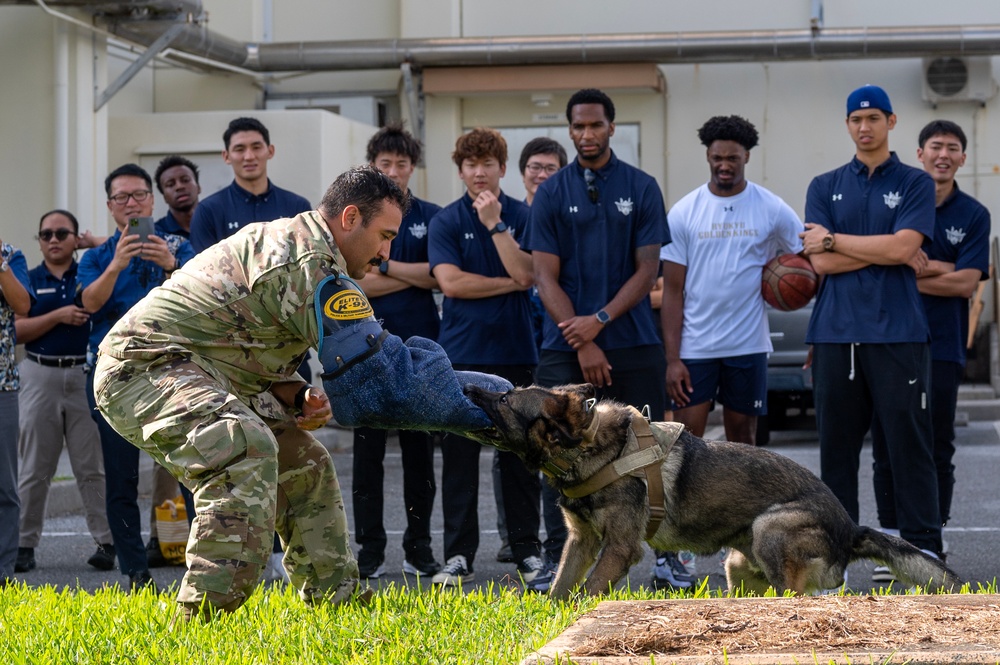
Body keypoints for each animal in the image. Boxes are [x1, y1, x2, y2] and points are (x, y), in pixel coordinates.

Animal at [468, 382, 960, 600]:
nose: (470, 385)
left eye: (506, 399)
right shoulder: (581, 540)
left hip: (770, 529)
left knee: (795, 594)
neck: (590, 447)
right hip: (739, 565)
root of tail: (850, 527)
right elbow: (561, 587)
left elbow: (588, 589)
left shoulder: (619, 548)